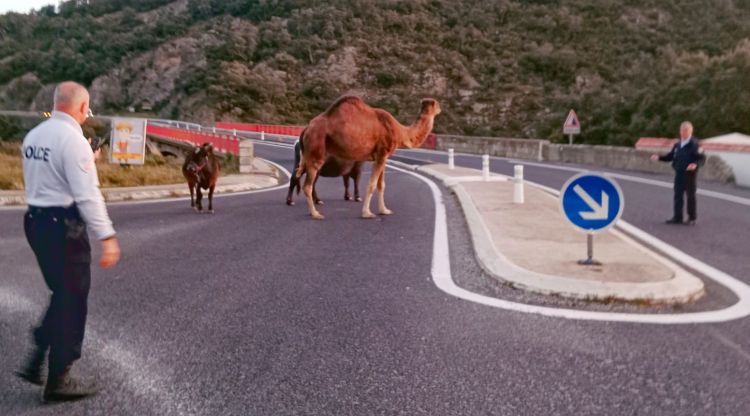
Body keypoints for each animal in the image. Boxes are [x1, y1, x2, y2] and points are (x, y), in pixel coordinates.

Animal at [296, 96, 440, 221]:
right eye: (437, 104)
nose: (440, 108)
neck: (400, 131)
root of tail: (306, 129)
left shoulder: (382, 157)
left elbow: (381, 185)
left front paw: (384, 210)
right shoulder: (382, 153)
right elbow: (372, 184)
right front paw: (367, 213)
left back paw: (312, 211)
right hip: (316, 148)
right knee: (308, 185)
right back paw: (315, 214)